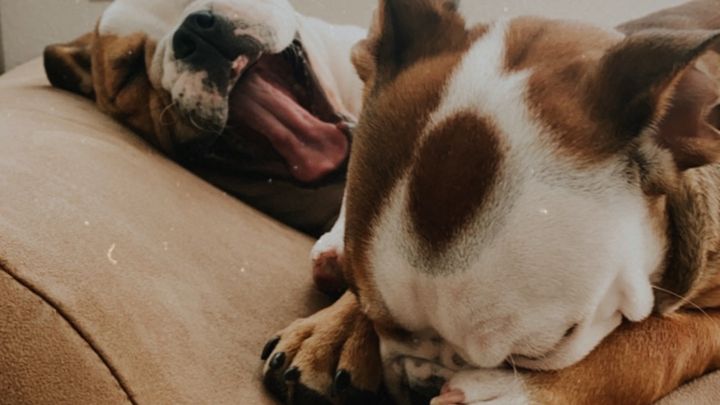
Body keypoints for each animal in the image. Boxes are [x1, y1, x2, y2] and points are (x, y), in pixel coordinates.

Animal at [262, 0, 720, 404]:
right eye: (373, 315)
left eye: (539, 352)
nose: (422, 386)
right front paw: (335, 333)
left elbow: (651, 342)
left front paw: (518, 391)